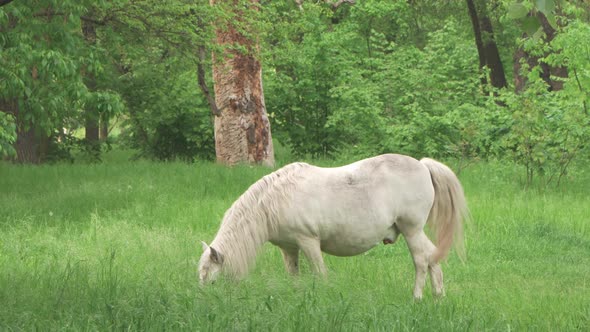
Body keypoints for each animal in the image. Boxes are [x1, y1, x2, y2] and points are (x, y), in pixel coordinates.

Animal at [201, 154, 470, 300]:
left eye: (212, 282)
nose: (208, 301)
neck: (275, 200)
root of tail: (423, 165)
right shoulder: (289, 249)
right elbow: (294, 275)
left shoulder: (309, 242)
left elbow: (320, 274)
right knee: (433, 258)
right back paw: (438, 296)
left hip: (411, 230)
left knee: (422, 260)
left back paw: (417, 297)